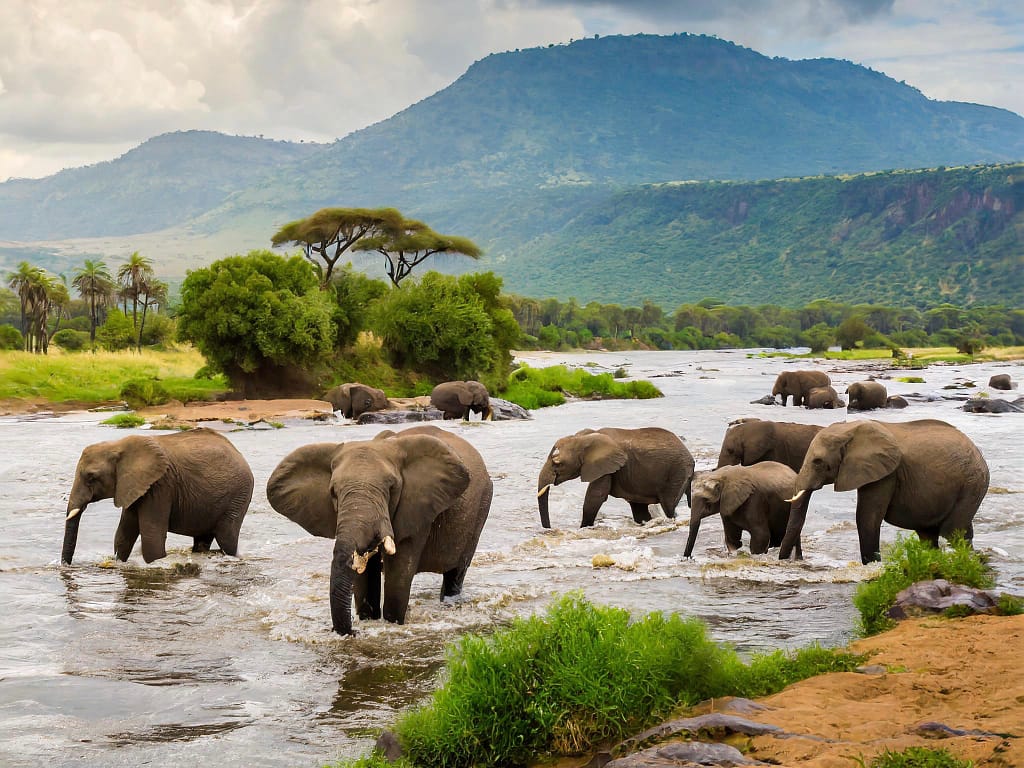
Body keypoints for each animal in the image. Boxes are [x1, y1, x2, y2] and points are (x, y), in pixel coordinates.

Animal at [62, 430, 254, 569]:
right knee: (203, 540)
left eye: (91, 477)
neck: (118, 445)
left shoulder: (160, 486)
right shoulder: (135, 487)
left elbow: (152, 537)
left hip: (238, 496)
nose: (66, 566)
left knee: (227, 538)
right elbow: (123, 535)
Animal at [268, 423, 491, 634]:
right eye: (333, 492)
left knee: (457, 572)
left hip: (482, 507)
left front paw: (391, 624)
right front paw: (368, 620)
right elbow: (363, 576)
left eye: (392, 488)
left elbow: (398, 574)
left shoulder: (417, 508)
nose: (353, 632)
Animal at [536, 428, 696, 528]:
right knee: (639, 509)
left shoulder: (605, 467)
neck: (585, 437)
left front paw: (583, 528)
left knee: (668, 506)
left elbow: (595, 497)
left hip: (677, 473)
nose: (549, 529)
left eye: (557, 463)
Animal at [778, 421, 987, 565]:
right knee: (931, 535)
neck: (850, 429)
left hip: (972, 484)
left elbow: (867, 518)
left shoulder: (885, 473)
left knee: (953, 531)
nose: (792, 560)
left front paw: (872, 566)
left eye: (818, 462)